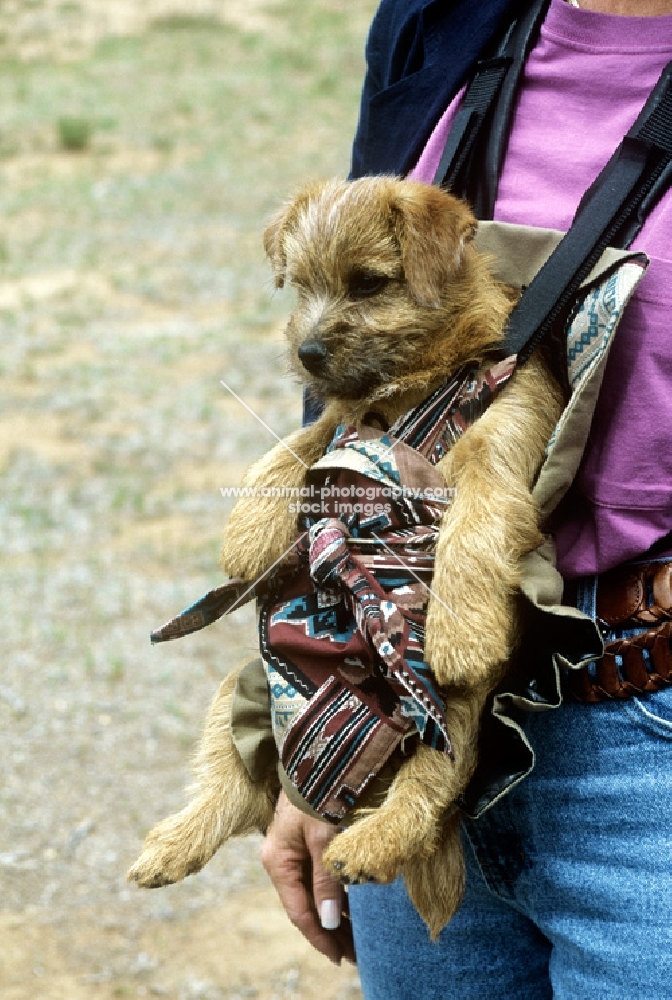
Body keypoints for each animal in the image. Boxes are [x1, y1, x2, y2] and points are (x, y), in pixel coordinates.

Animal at [129, 180, 564, 936]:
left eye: (368, 282)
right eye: (302, 285)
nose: (306, 351)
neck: (412, 384)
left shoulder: (501, 437)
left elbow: (478, 510)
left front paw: (464, 627)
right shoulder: (340, 423)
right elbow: (297, 447)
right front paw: (248, 528)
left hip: (452, 712)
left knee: (430, 785)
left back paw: (369, 843)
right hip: (239, 689)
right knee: (237, 785)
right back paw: (171, 846)